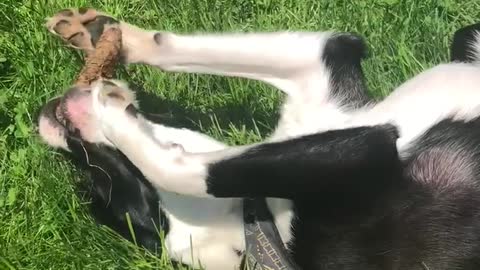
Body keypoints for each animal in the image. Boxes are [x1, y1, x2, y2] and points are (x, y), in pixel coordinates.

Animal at [38, 8, 480, 270]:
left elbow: (171, 52)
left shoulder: (324, 65)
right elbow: (188, 171)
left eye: (98, 183)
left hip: (464, 34)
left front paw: (103, 35)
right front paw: (110, 105)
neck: (255, 221)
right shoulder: (365, 150)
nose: (41, 120)